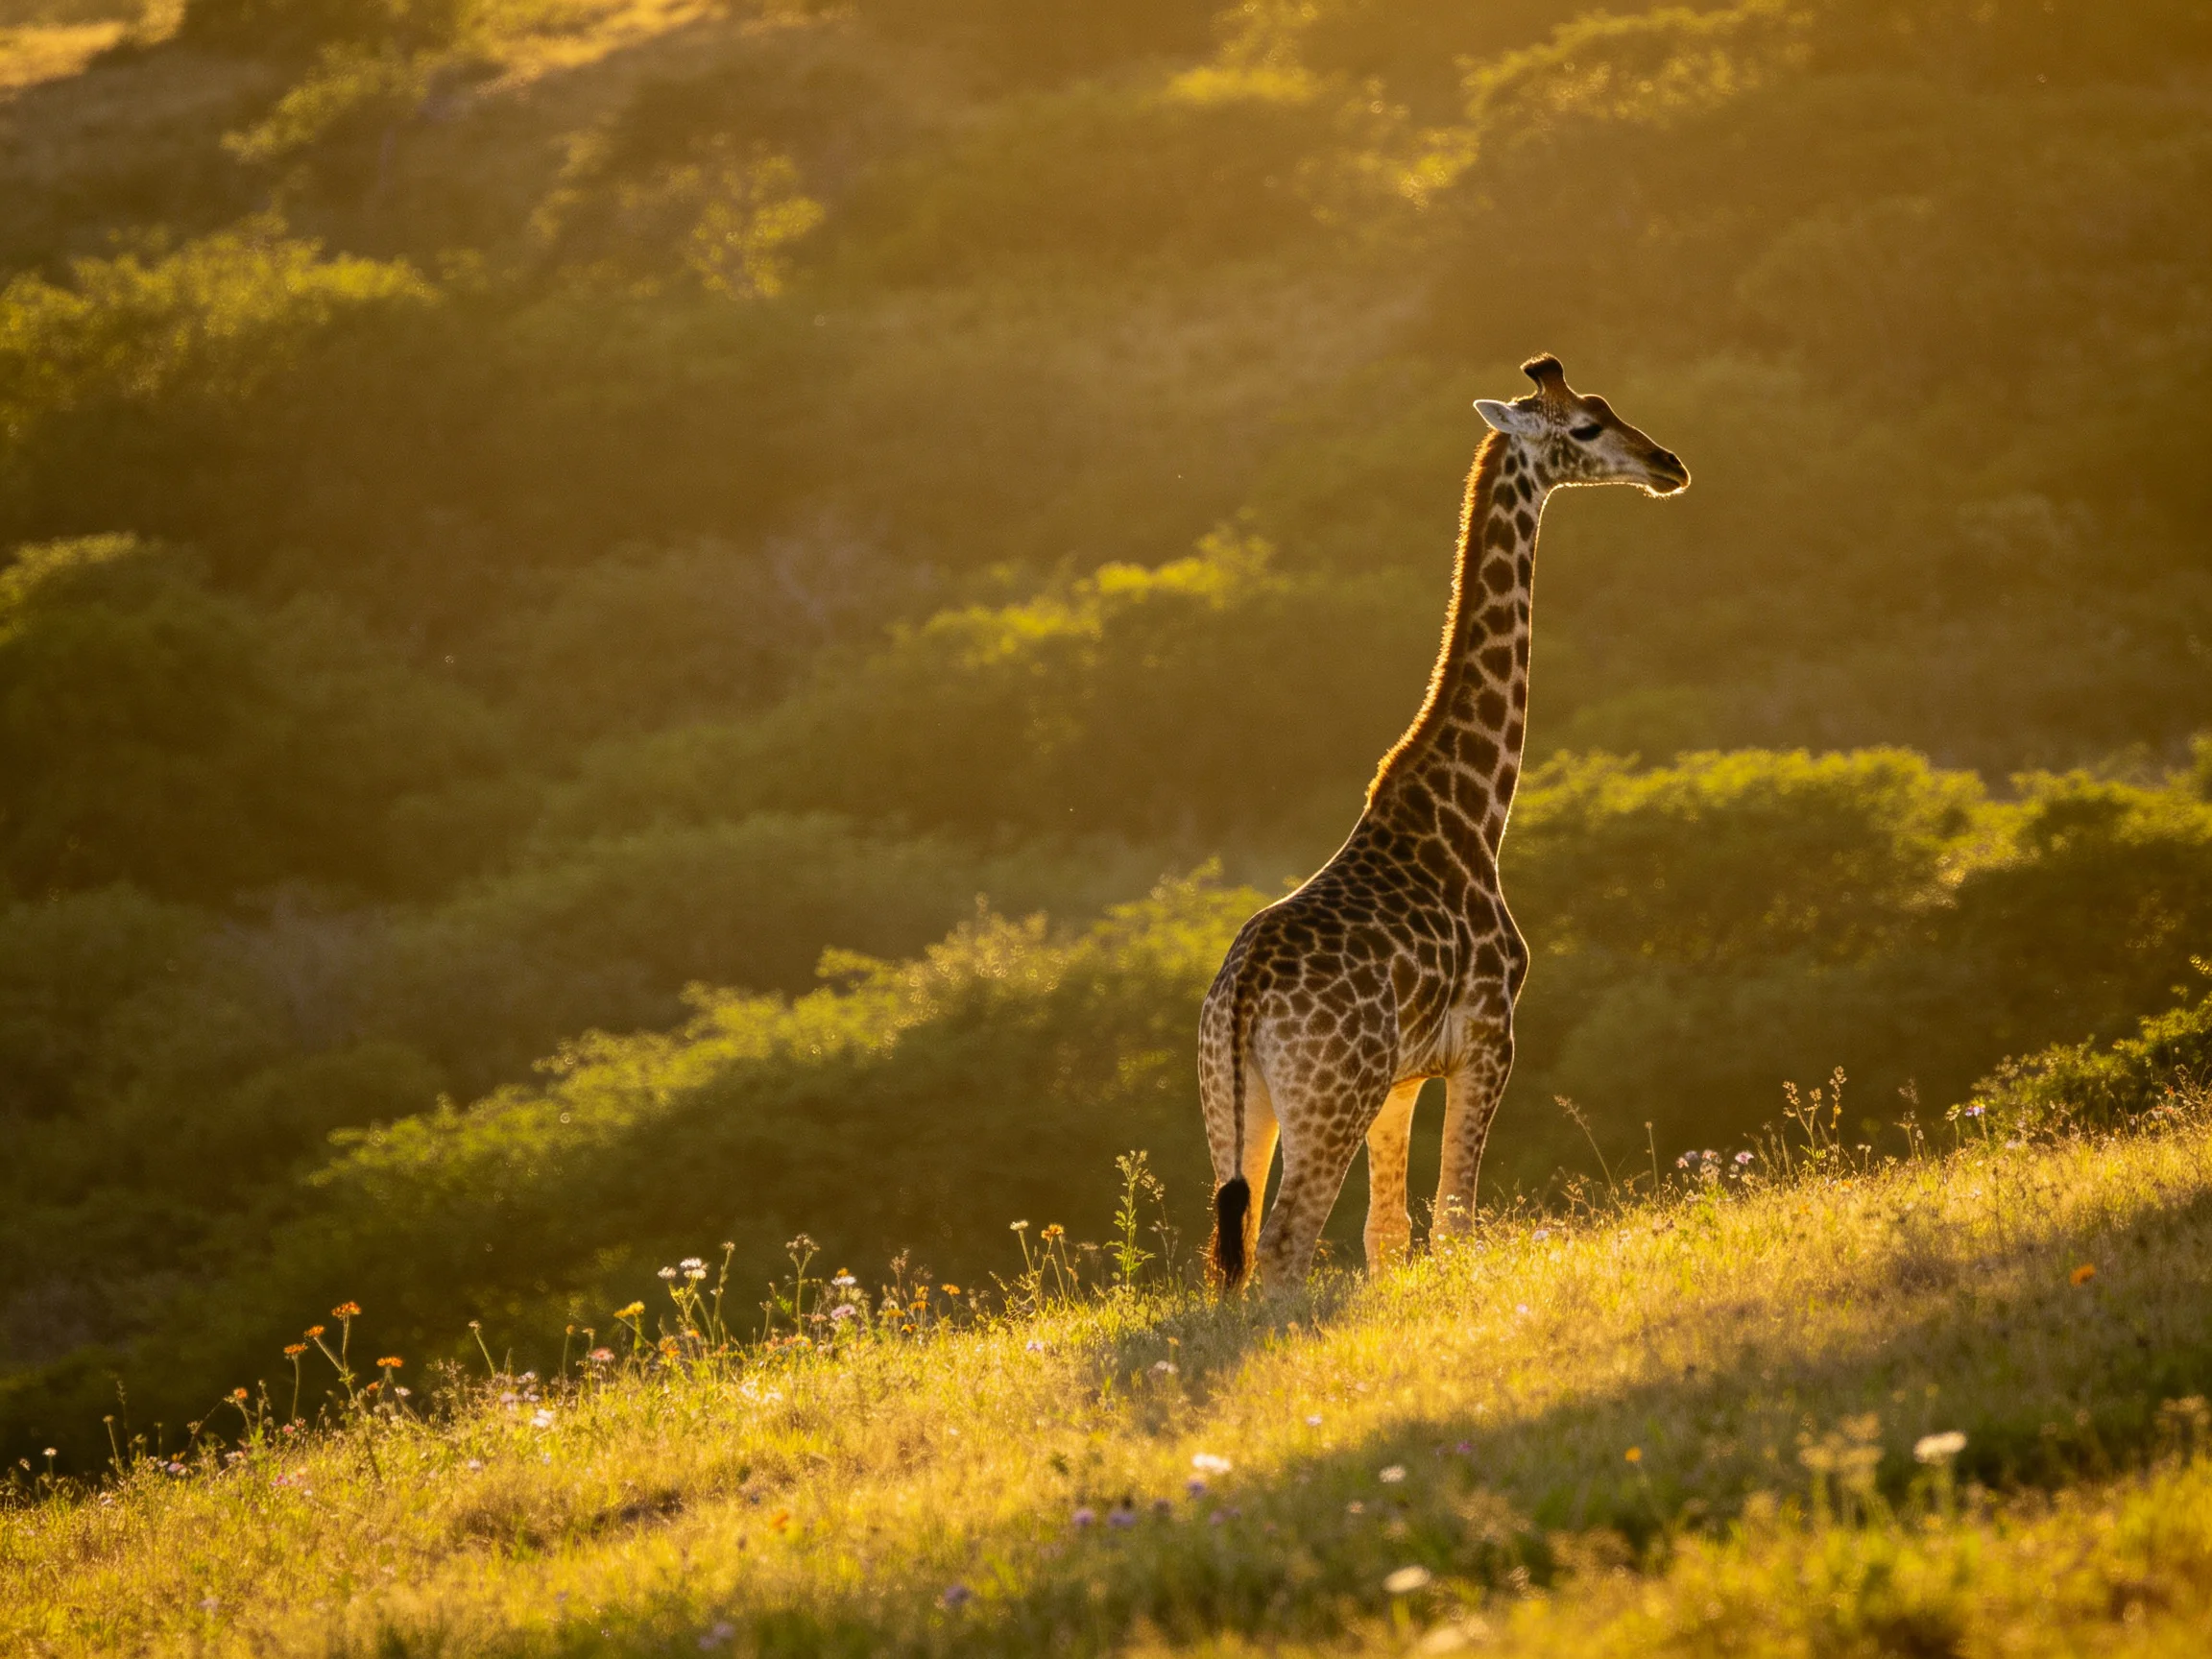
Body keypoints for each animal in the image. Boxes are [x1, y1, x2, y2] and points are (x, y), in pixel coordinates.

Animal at [1199, 355, 1689, 1290]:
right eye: (1585, 427)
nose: (1668, 464)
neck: (1470, 812)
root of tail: (1241, 998)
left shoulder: (1403, 1078)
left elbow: (1388, 1236)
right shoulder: (1491, 1036)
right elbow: (1455, 1218)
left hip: (1234, 1105)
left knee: (1229, 1255)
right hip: (1330, 1099)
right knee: (1283, 1247)